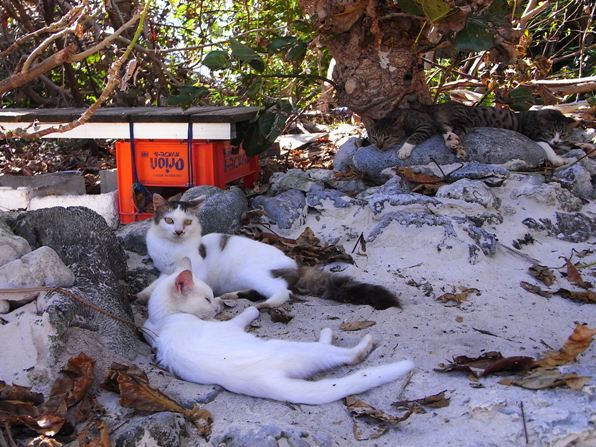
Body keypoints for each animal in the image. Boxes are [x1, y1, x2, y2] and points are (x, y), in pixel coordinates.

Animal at [144, 194, 400, 310]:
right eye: (169, 220)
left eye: (187, 222)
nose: (178, 231)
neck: (171, 248)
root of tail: (296, 264)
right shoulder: (163, 271)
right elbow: (154, 285)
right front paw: (143, 295)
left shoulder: (195, 272)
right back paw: (230, 296)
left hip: (254, 273)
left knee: (282, 292)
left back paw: (262, 306)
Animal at [144, 260, 414, 406]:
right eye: (208, 299)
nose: (218, 306)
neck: (168, 319)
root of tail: (267, 382)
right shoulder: (227, 326)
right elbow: (245, 315)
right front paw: (253, 309)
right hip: (302, 350)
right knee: (345, 356)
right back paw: (356, 340)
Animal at [368, 102, 576, 167]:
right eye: (374, 138)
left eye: (563, 134)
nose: (378, 146)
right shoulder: (534, 135)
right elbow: (547, 146)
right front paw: (559, 158)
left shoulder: (425, 125)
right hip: (461, 120)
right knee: (453, 130)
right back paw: (453, 143)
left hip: (459, 119)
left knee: (452, 129)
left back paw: (453, 143)